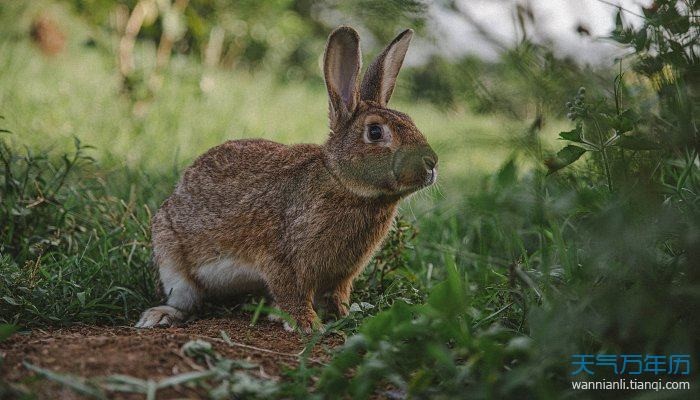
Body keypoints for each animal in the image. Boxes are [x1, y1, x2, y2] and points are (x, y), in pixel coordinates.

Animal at [136, 25, 438, 332]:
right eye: (375, 132)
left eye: (410, 120)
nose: (432, 163)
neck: (341, 182)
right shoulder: (280, 260)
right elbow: (292, 293)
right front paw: (308, 325)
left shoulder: (341, 275)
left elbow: (336, 295)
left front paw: (343, 316)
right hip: (172, 259)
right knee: (185, 299)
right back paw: (159, 316)